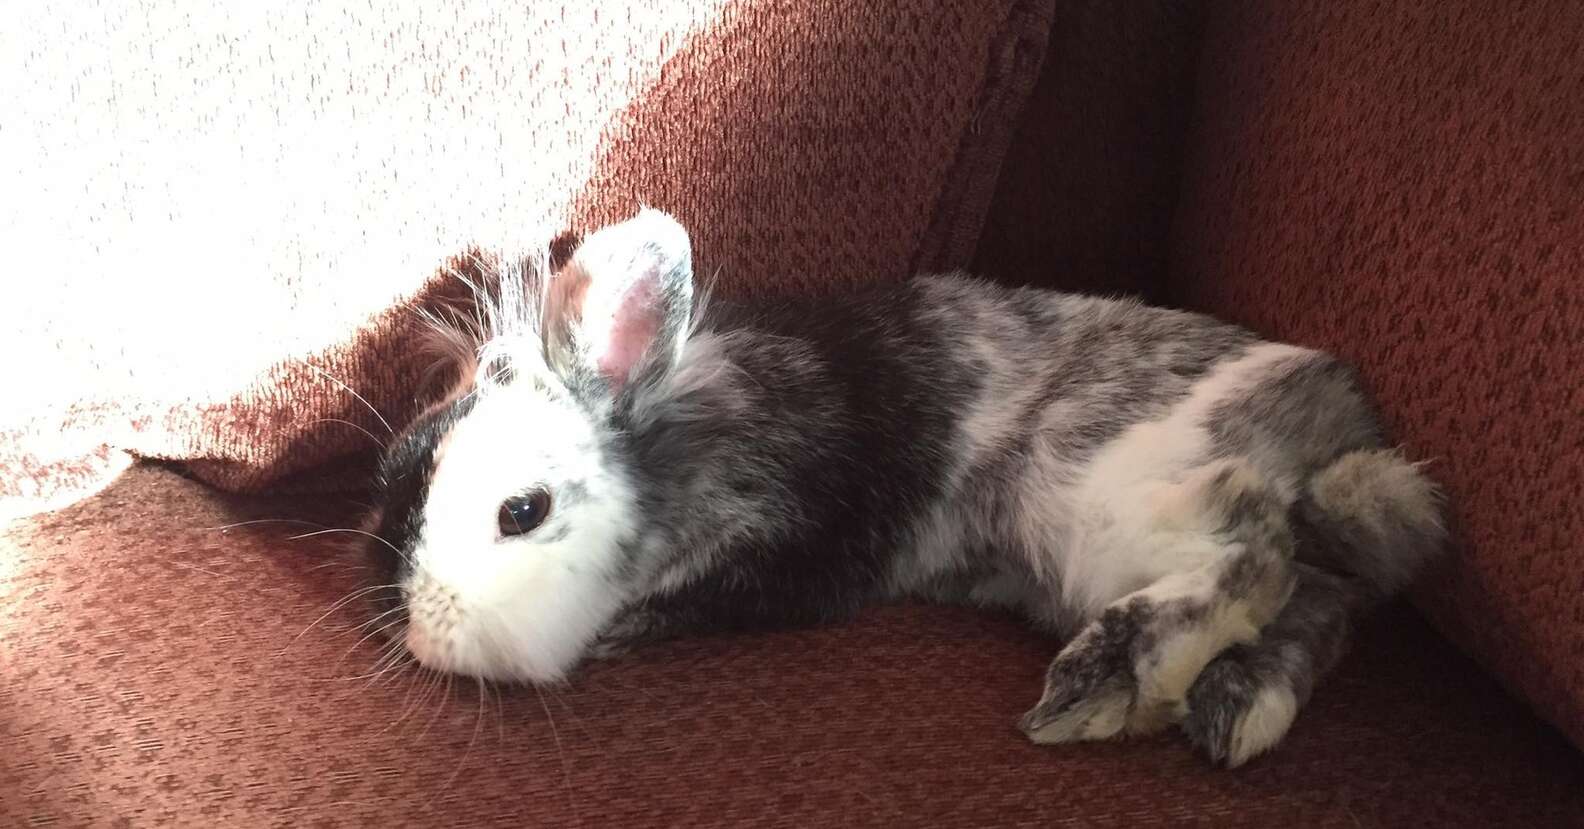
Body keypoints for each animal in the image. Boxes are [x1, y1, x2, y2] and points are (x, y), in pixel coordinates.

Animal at [360, 208, 1446, 767]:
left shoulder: (799, 540)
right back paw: (1216, 704)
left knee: (1255, 543)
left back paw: (1115, 677)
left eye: (523, 512)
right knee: (1311, 600)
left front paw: (628, 629)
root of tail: (1339, 429)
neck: (686, 452)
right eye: (402, 464)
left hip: (1123, 499)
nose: (413, 625)